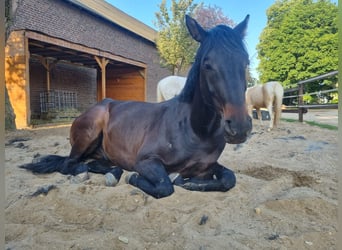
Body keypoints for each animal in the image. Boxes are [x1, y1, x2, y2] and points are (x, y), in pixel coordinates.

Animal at [20, 15, 252, 199]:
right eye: (207, 64)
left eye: (246, 62)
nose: (239, 127)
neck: (194, 130)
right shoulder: (145, 161)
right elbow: (165, 186)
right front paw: (137, 178)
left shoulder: (209, 166)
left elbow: (229, 179)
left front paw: (188, 182)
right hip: (88, 134)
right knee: (70, 164)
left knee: (93, 163)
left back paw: (112, 171)